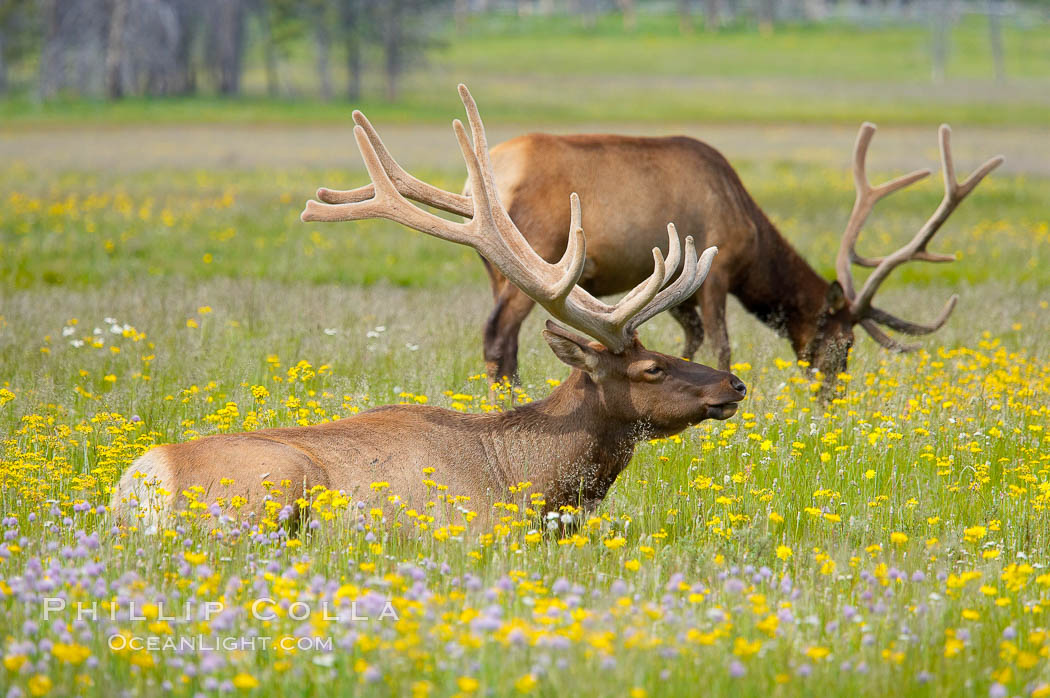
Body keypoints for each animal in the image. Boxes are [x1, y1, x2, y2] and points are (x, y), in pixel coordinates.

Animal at [114, 87, 747, 531]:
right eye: (652, 369)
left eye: (664, 351)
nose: (735, 384)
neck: (532, 481)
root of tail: (139, 486)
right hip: (276, 487)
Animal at [317, 113, 999, 388]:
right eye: (842, 342)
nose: (832, 393)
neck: (754, 241)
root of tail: (475, 181)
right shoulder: (718, 272)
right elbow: (721, 343)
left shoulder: (684, 292)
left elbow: (691, 341)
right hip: (536, 254)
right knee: (497, 336)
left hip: (497, 263)